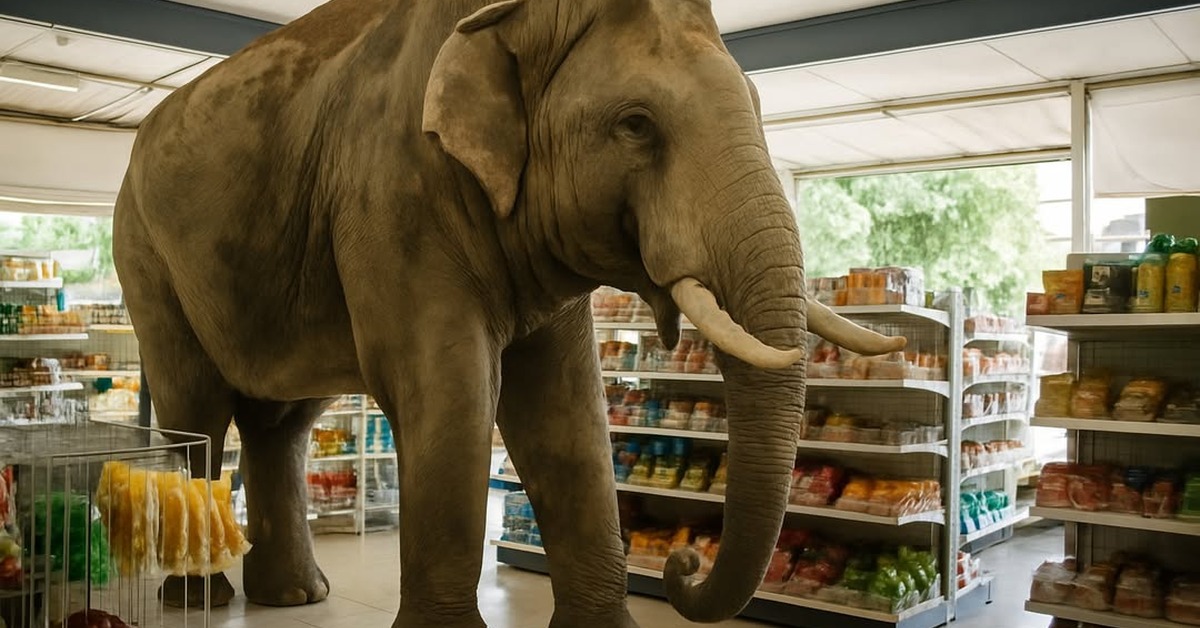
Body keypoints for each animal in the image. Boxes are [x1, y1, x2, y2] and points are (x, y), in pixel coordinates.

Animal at [111, 0, 905, 626]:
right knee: (197, 413)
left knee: (283, 424)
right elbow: (450, 390)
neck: (515, 16)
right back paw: (200, 599)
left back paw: (297, 598)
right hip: (146, 255)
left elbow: (567, 410)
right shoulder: (393, 191)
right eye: (636, 125)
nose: (683, 562)